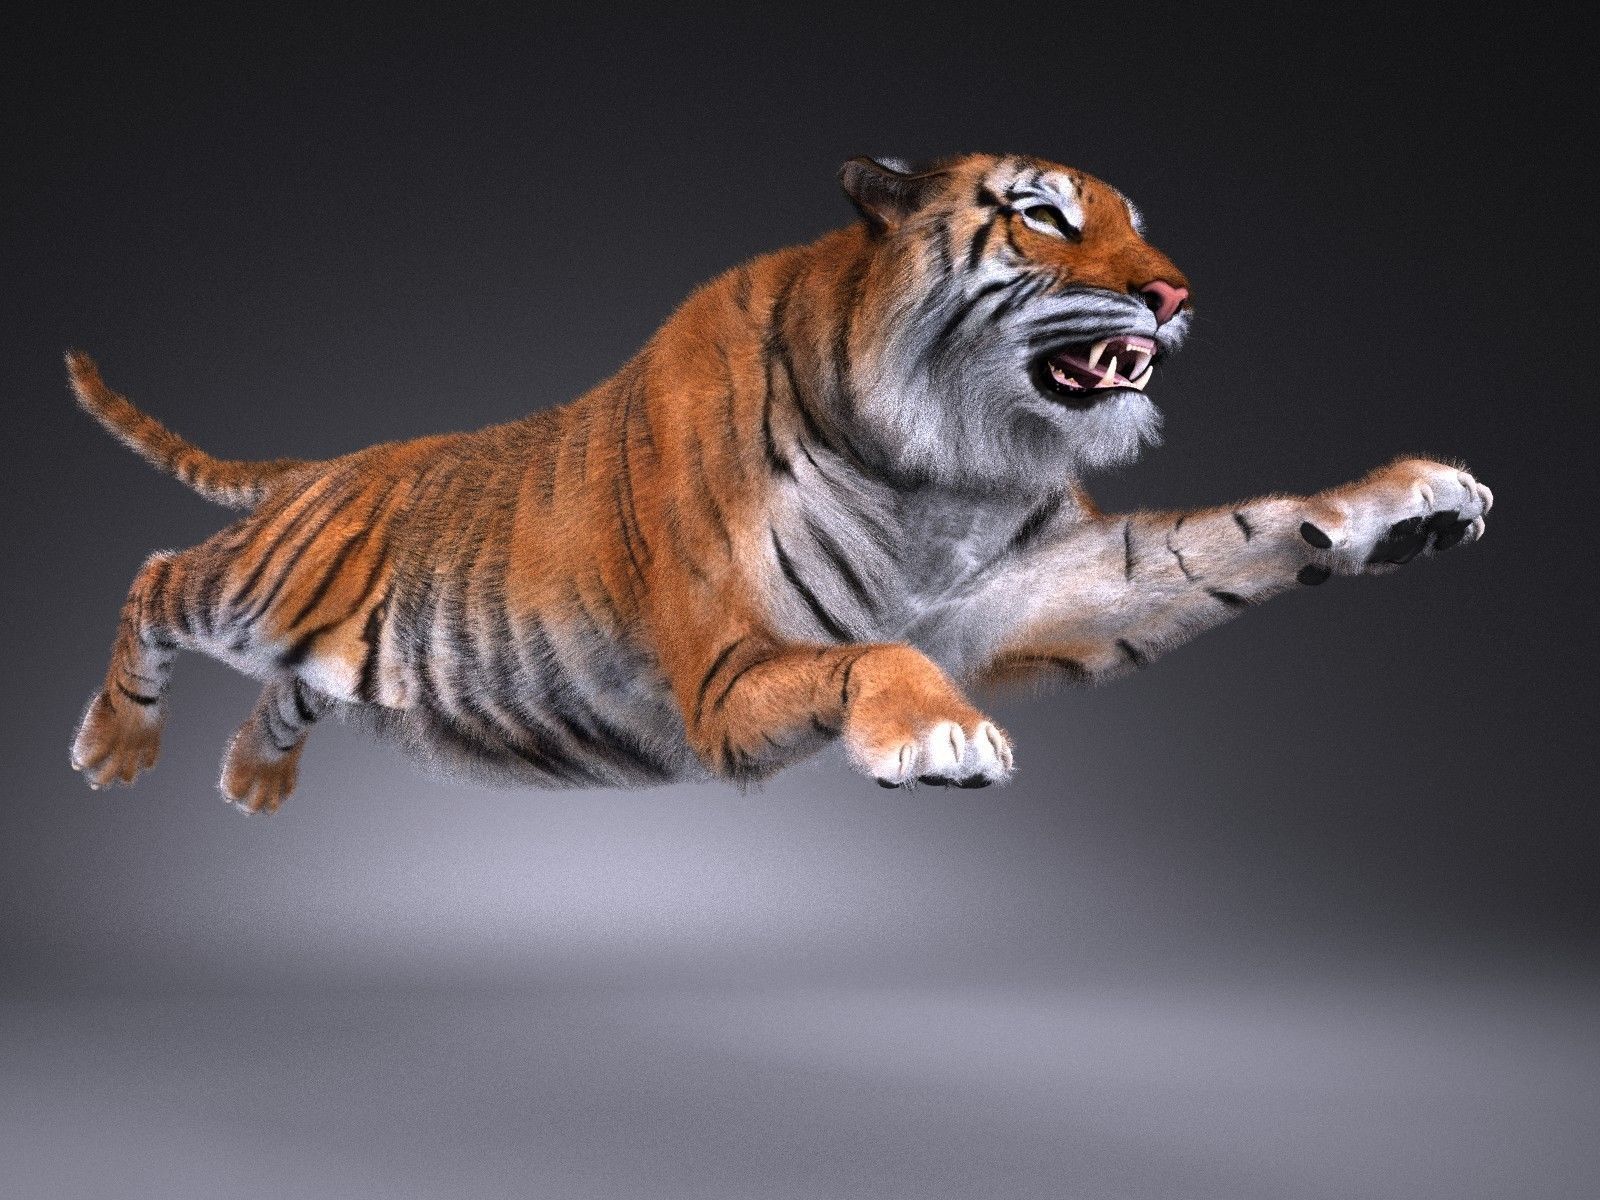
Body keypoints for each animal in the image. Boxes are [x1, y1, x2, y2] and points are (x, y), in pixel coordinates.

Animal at [67, 152, 1494, 813]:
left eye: (1134, 220)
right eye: (1042, 213)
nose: (1175, 293)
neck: (946, 461)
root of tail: (337, 460)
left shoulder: (1028, 588)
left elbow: (1223, 538)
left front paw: (1408, 501)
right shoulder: (725, 673)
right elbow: (873, 656)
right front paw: (941, 734)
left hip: (341, 648)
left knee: (287, 688)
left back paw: (254, 778)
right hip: (261, 589)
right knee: (155, 573)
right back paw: (114, 745)